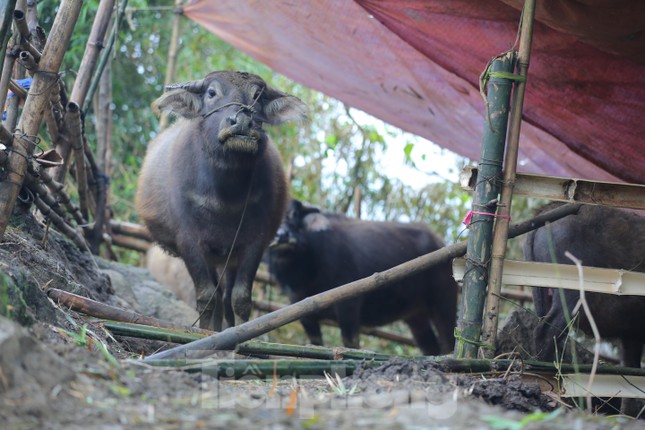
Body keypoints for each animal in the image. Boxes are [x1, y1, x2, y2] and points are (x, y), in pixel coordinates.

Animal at [135, 72, 306, 330]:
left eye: (258, 95)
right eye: (211, 93)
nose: (242, 122)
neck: (225, 197)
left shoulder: (254, 242)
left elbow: (240, 298)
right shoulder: (189, 241)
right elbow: (206, 296)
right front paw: (206, 333)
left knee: (225, 296)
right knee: (215, 294)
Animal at [266, 200, 458, 354]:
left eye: (294, 216)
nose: (283, 236)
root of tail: (439, 242)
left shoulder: (349, 304)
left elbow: (350, 341)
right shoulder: (301, 309)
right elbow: (316, 342)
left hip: (443, 300)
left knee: (449, 338)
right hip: (416, 315)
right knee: (429, 345)